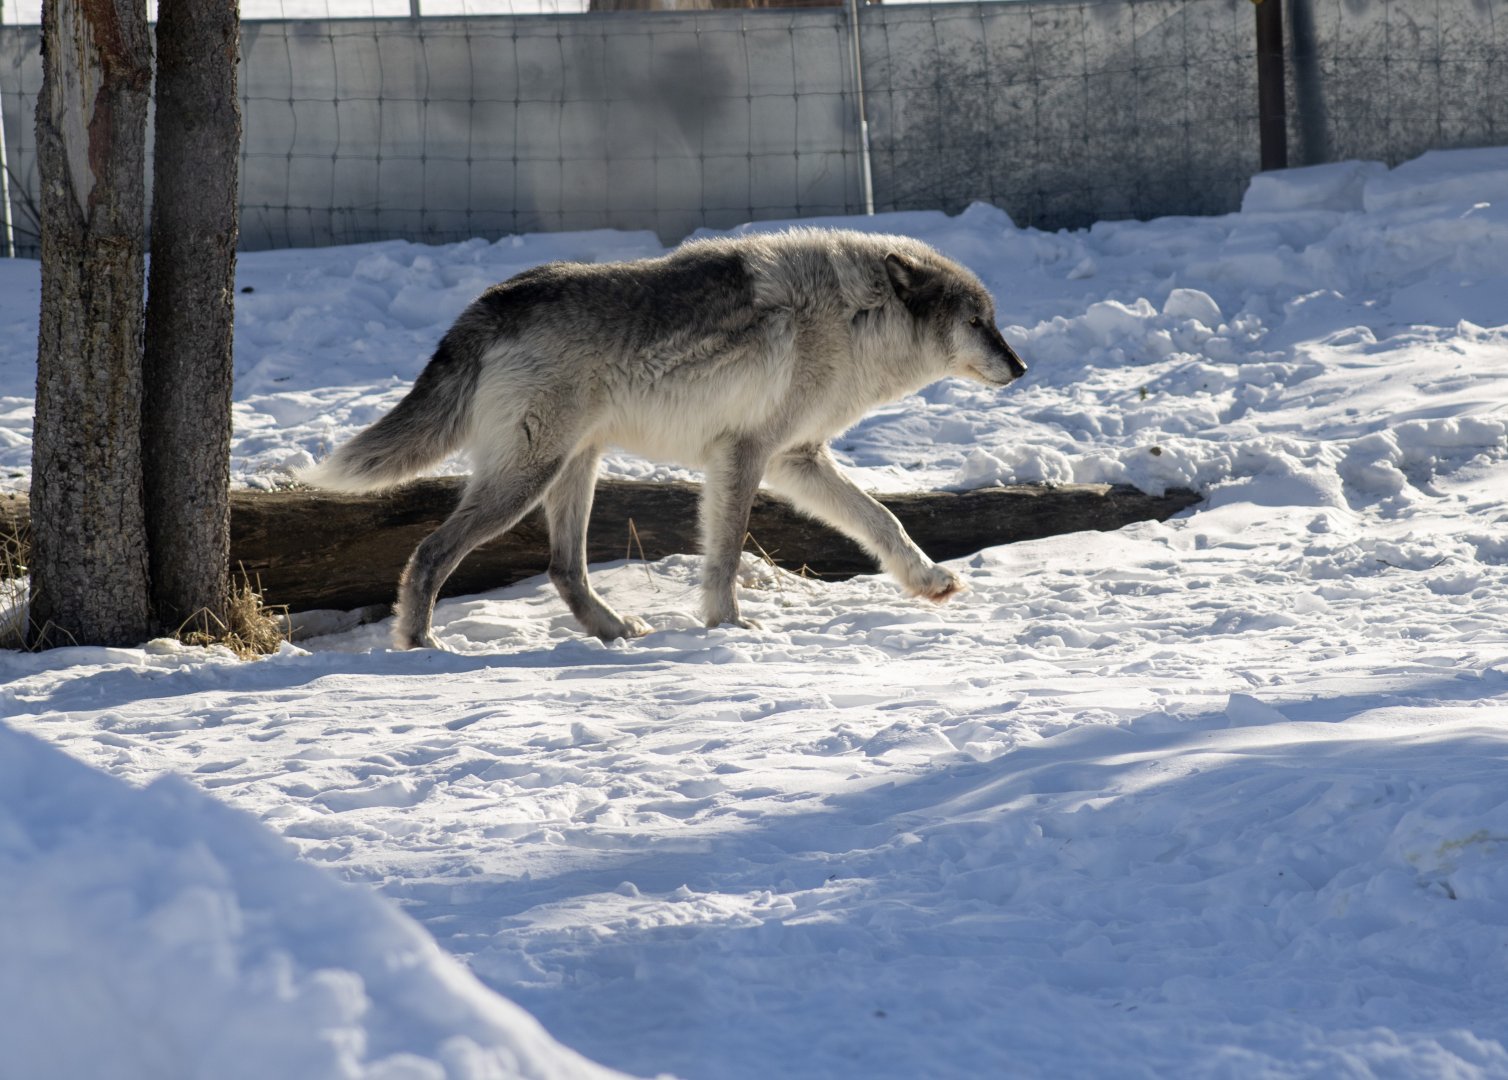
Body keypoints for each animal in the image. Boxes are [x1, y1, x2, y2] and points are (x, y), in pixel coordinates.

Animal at [299, 228, 1027, 649]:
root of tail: (496, 297)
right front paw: (728, 627)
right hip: (529, 477)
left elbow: (882, 521)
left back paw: (613, 631)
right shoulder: (744, 455)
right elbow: (726, 555)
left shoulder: (796, 460)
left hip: (574, 471)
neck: (852, 317)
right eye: (977, 322)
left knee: (563, 568)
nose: (1022, 367)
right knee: (429, 552)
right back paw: (420, 646)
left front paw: (930, 581)